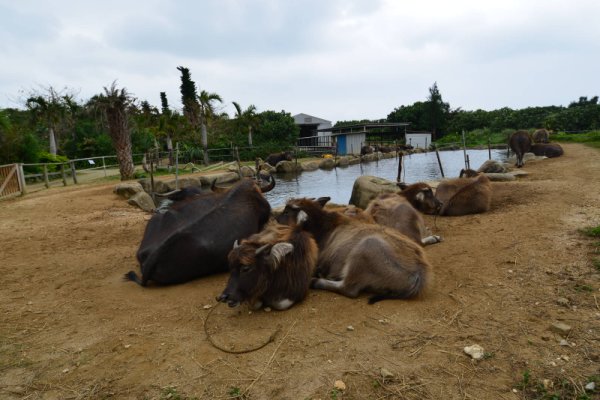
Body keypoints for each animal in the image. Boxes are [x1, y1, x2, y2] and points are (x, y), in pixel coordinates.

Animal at [276, 197, 432, 304]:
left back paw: (316, 281)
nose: (275, 219)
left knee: (348, 289)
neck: (323, 229)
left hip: (365, 248)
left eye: (286, 211)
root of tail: (420, 272)